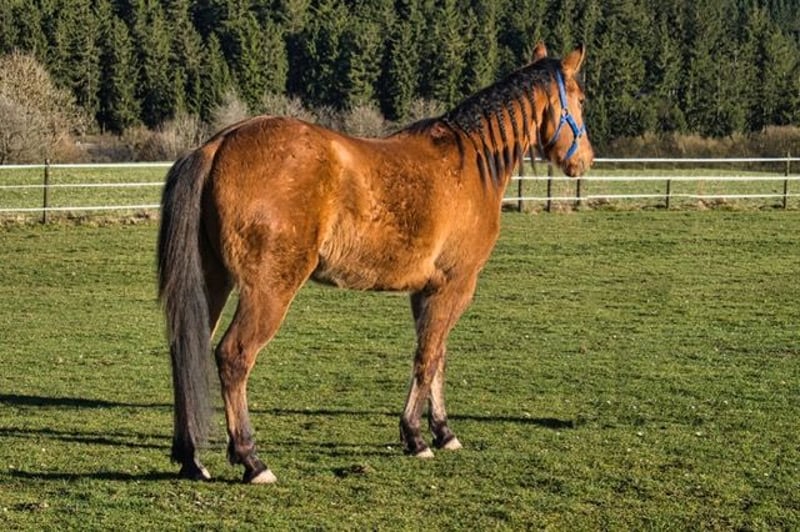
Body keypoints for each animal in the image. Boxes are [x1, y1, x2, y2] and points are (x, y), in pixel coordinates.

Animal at [157, 42, 594, 484]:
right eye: (581, 100)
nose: (585, 161)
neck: (471, 159)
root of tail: (217, 146)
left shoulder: (427, 291)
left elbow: (437, 356)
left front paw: (442, 431)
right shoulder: (455, 285)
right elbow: (427, 358)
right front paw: (415, 437)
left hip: (212, 283)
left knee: (184, 354)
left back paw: (191, 457)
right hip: (268, 290)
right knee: (234, 357)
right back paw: (251, 459)